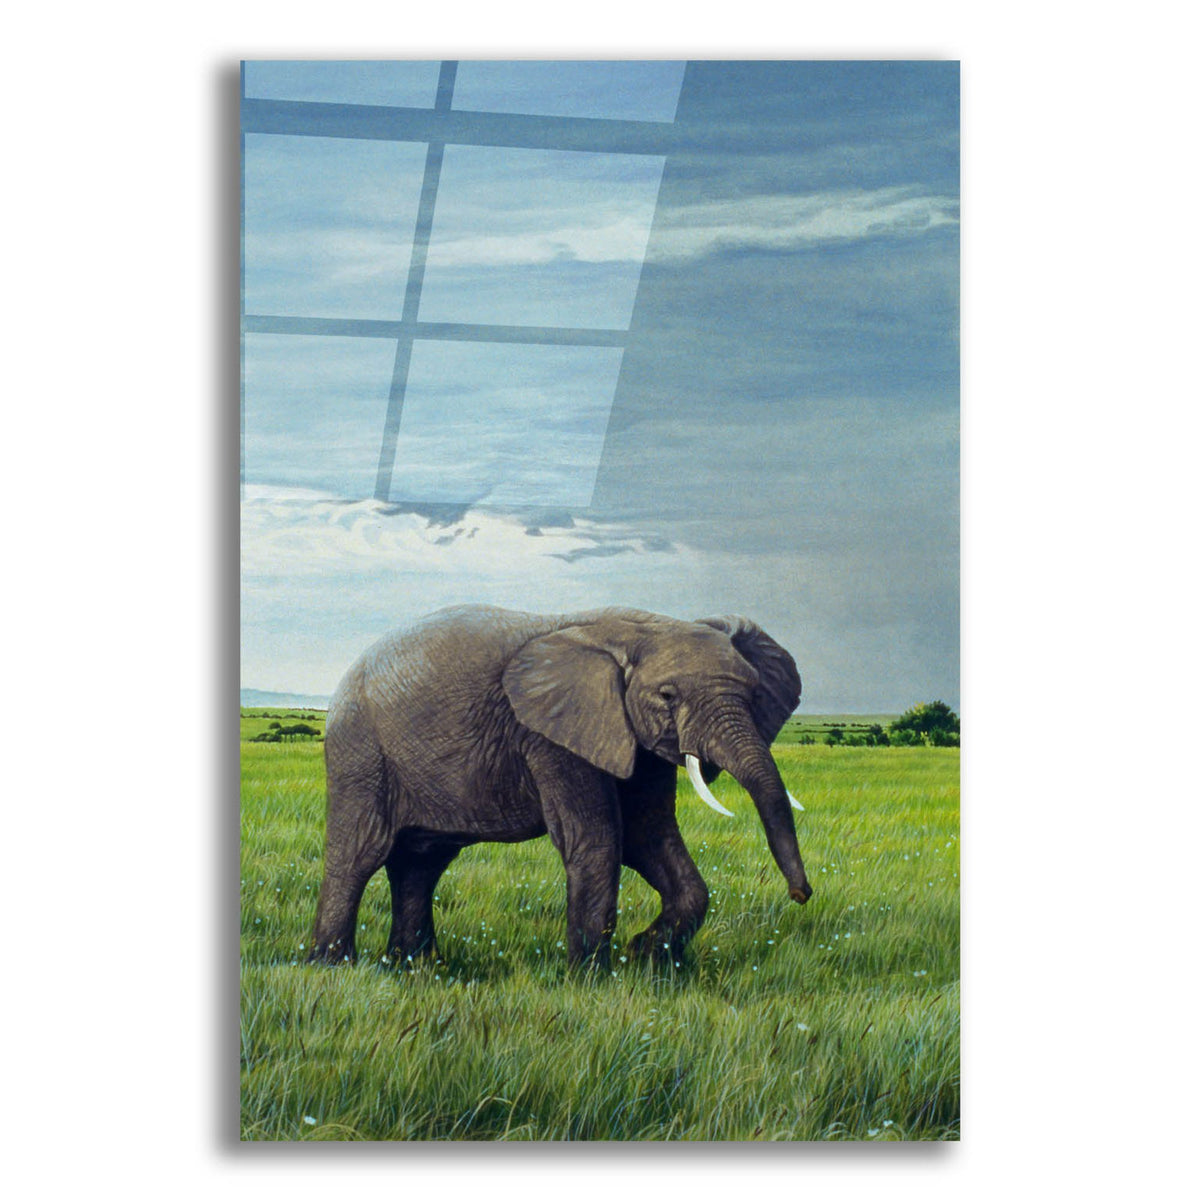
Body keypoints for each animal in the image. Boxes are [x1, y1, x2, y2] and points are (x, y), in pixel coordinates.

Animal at [309, 604, 812, 971]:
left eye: (753, 694)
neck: (641, 627)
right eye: (668, 696)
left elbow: (647, 836)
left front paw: (646, 957)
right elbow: (598, 840)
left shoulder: (633, 741)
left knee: (421, 862)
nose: (800, 895)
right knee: (361, 853)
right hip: (361, 752)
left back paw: (415, 967)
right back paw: (333, 966)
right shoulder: (551, 736)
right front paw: (591, 979)